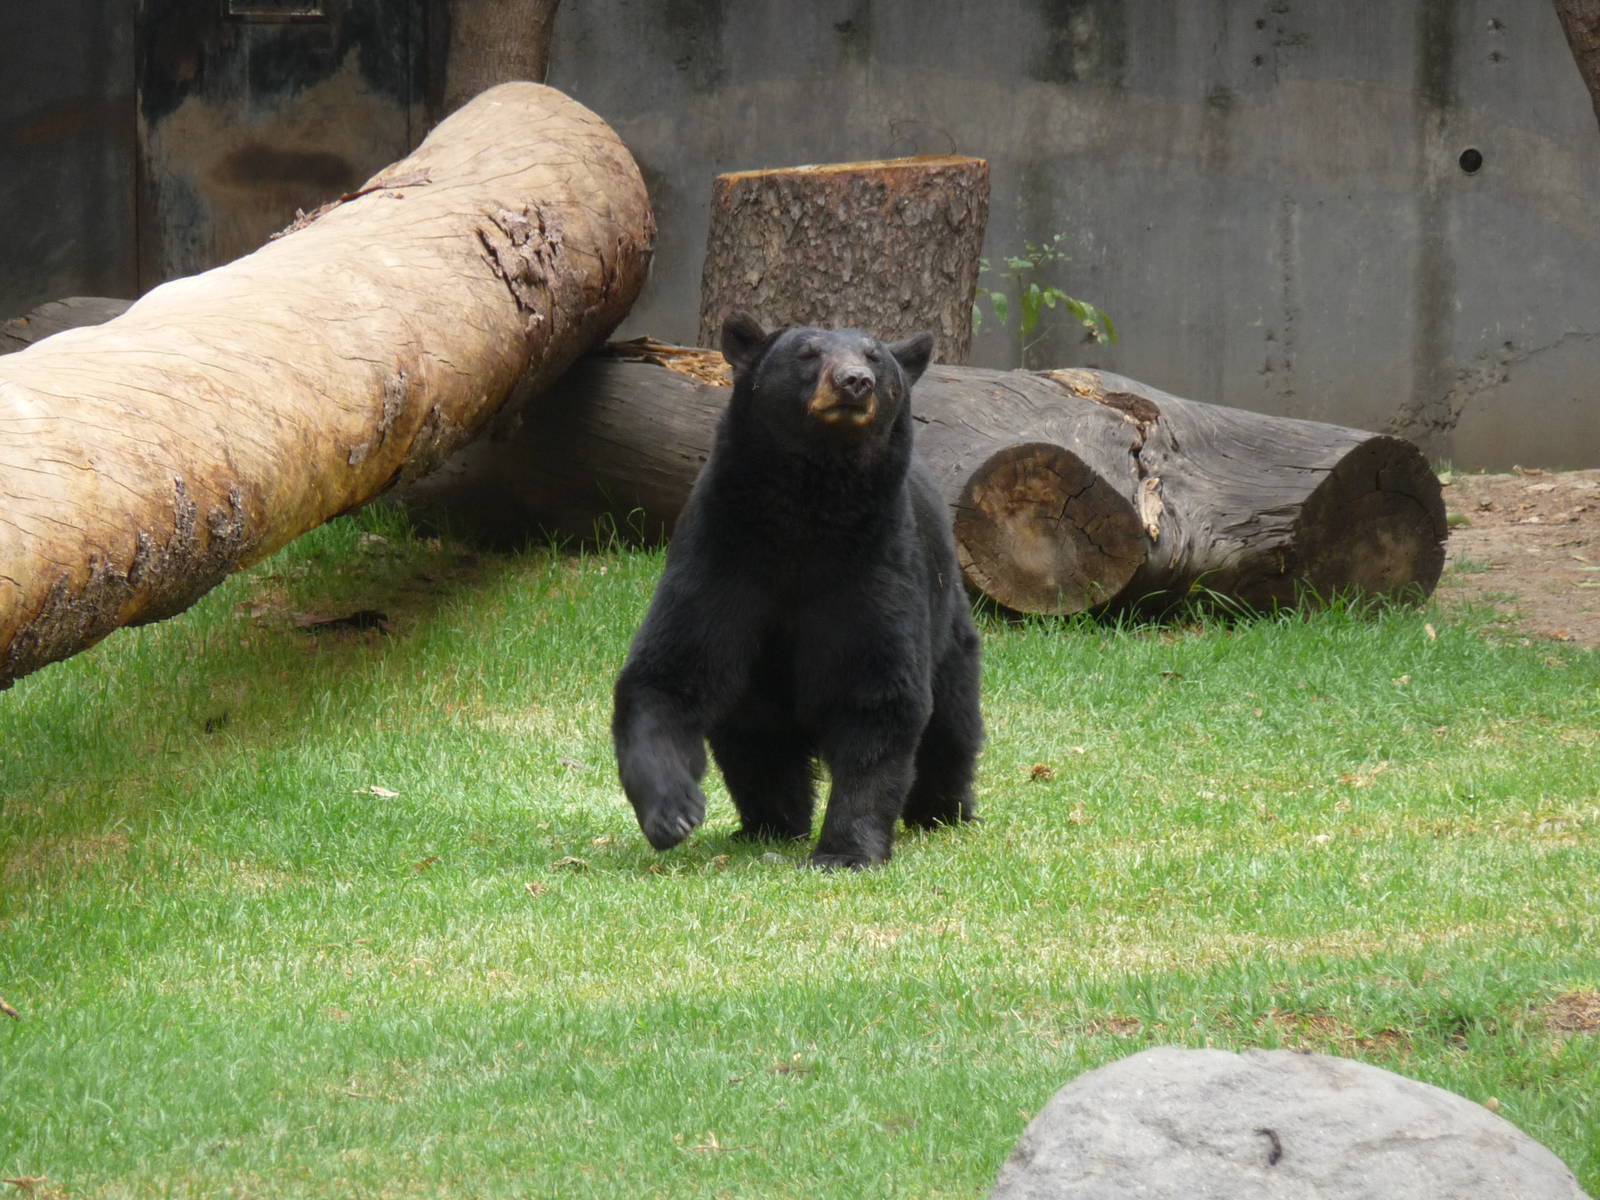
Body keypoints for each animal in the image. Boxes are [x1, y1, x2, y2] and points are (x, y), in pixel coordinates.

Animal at [610, 312, 983, 869]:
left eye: (875, 356)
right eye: (807, 352)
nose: (855, 381)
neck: (807, 515)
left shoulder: (876, 566)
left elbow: (879, 697)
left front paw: (846, 851)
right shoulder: (723, 557)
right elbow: (669, 673)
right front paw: (673, 812)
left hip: (946, 617)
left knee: (952, 725)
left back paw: (943, 810)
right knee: (757, 740)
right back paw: (770, 823)